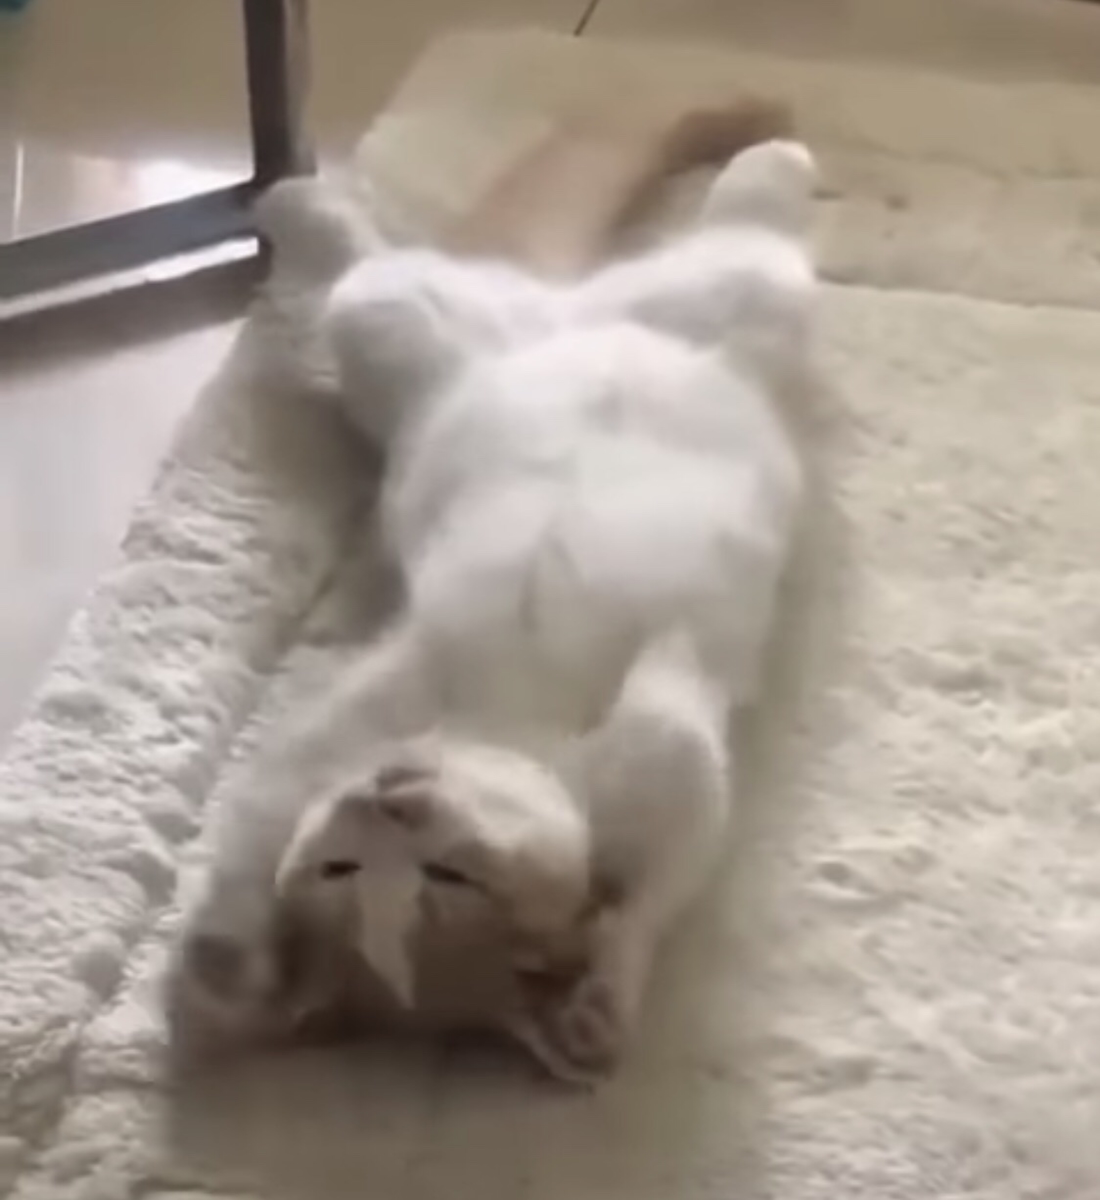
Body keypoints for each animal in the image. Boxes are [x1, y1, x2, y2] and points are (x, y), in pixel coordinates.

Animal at [172, 137, 817, 1084]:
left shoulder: (678, 761)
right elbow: (250, 837)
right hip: (404, 334)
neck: (511, 726)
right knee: (370, 264)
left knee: (745, 227)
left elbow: (653, 888)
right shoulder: (335, 735)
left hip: (732, 304)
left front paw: (603, 998)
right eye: (340, 868)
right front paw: (227, 962)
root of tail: (564, 316)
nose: (385, 795)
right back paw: (287, 199)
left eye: (450, 878)